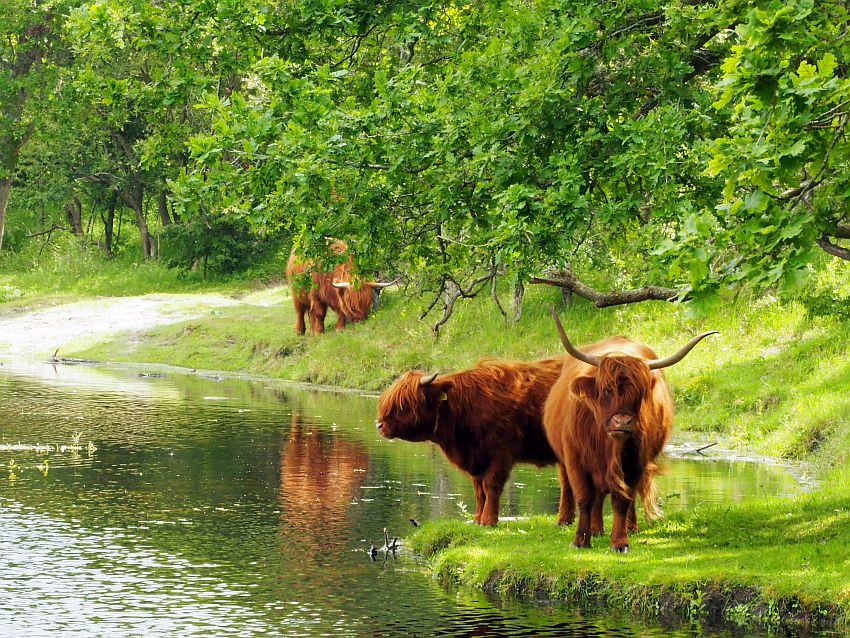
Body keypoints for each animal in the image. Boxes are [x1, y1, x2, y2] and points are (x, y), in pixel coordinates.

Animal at [376, 358, 564, 528]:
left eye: (404, 403)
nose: (379, 425)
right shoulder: (477, 459)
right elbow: (479, 491)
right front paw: (477, 520)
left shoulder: (500, 455)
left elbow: (490, 487)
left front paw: (488, 521)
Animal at [544, 308, 716, 552]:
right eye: (606, 391)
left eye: (639, 393)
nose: (623, 422)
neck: (608, 445)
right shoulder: (575, 458)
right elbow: (584, 497)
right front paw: (580, 540)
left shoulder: (635, 461)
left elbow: (622, 500)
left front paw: (619, 542)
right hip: (563, 459)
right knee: (569, 486)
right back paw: (571, 522)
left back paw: (623, 528)